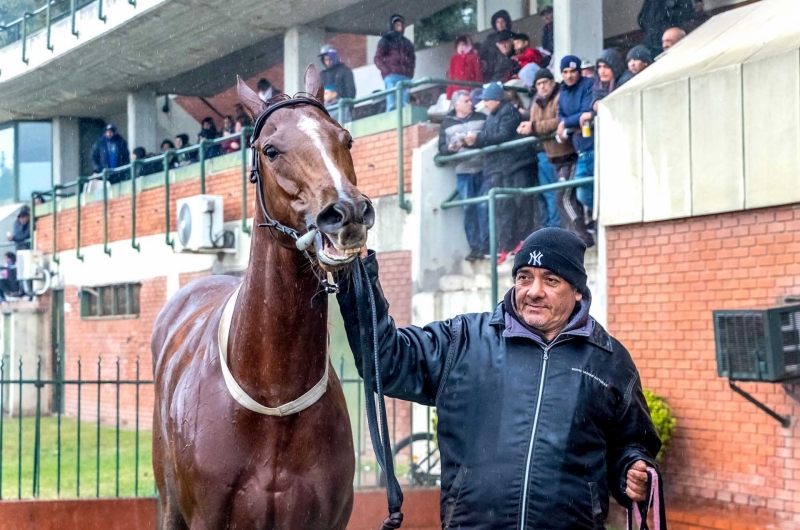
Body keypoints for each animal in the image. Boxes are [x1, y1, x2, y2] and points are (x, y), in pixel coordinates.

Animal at [152, 67, 372, 528]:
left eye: (345, 139)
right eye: (270, 150)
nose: (346, 213)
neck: (274, 398)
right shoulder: (206, 518)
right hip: (170, 505)